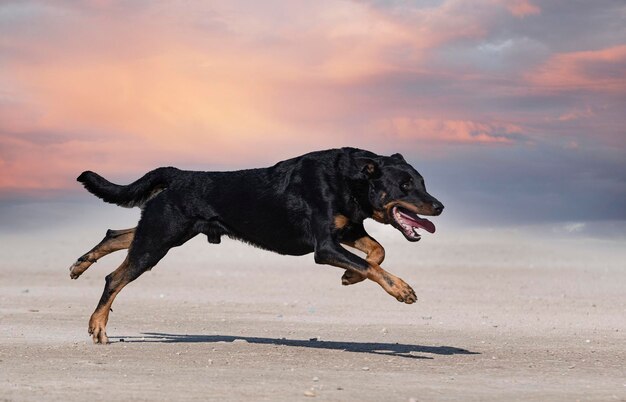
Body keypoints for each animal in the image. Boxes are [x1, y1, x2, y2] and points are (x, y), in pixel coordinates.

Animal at [69, 148, 444, 342]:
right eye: (405, 185)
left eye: (423, 182)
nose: (438, 206)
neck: (351, 181)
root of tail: (176, 173)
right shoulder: (325, 246)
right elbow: (371, 261)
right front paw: (401, 289)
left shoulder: (347, 230)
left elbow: (377, 253)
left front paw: (351, 277)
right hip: (160, 238)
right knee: (116, 277)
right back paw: (97, 326)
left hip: (168, 231)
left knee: (118, 234)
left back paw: (81, 264)